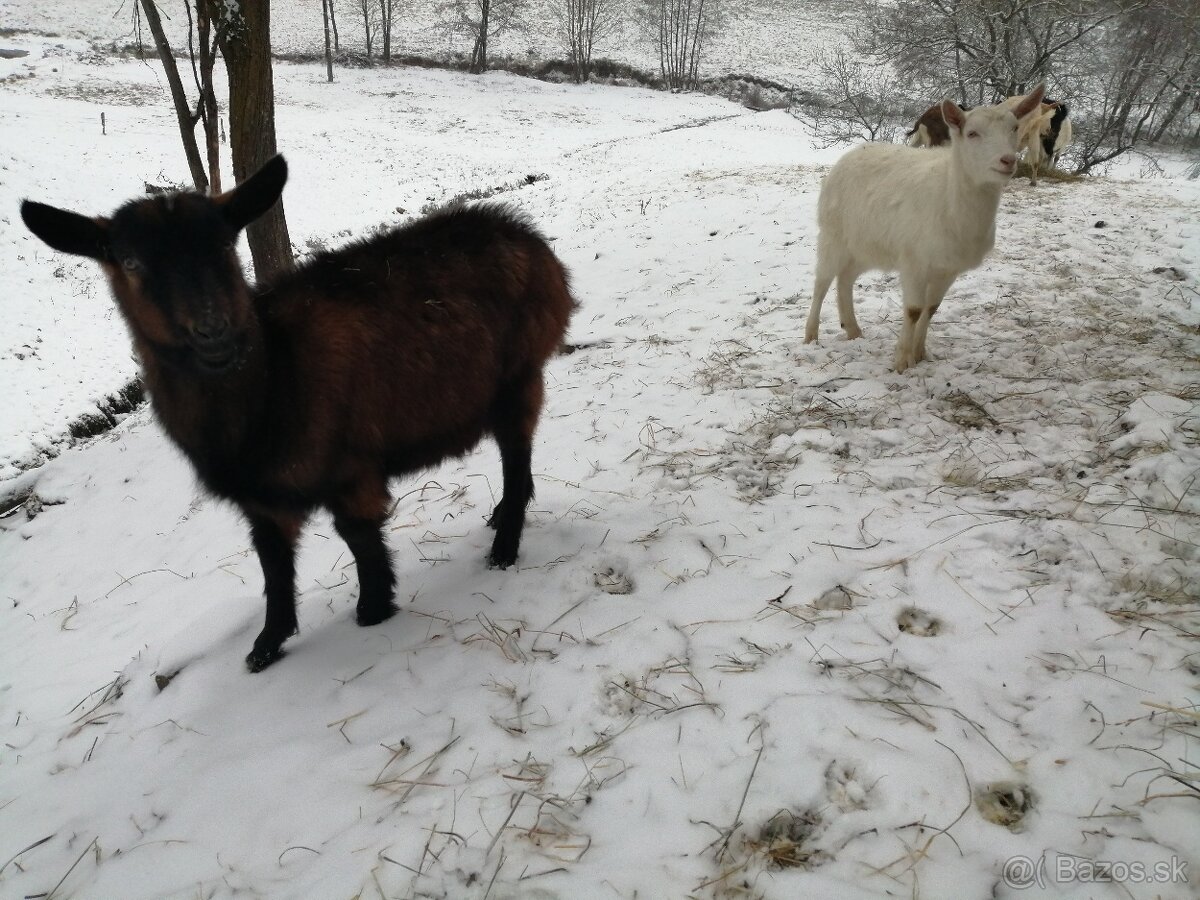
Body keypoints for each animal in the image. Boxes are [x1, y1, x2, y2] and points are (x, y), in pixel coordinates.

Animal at [806, 87, 1041, 374]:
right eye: (972, 133)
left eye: (1015, 128)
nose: (1007, 160)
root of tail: (848, 156)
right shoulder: (913, 260)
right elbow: (914, 310)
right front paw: (902, 361)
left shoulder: (948, 267)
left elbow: (931, 309)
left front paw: (920, 354)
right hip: (833, 233)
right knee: (822, 281)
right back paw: (811, 335)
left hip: (867, 243)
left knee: (846, 279)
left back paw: (852, 330)